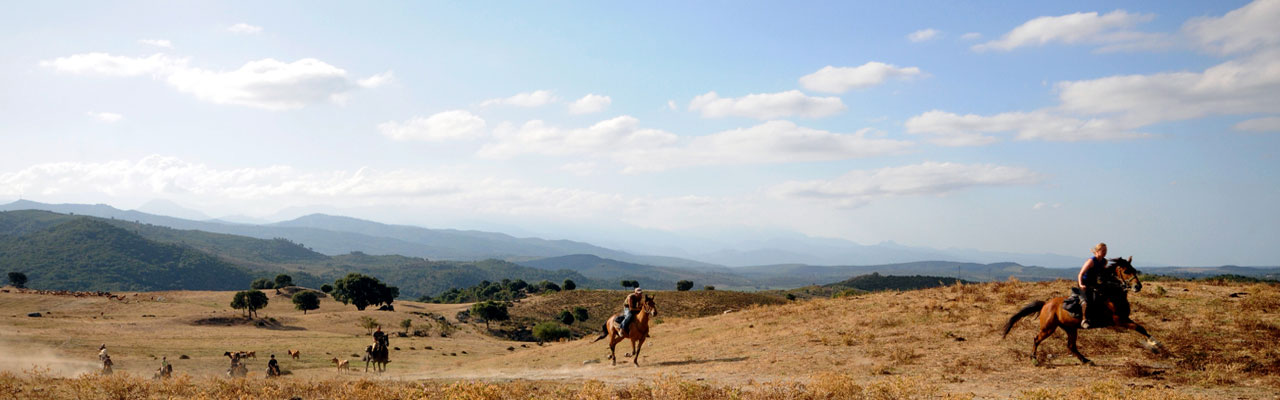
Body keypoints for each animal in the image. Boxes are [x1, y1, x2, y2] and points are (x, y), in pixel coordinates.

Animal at [998, 256, 1162, 366]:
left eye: (1134, 270)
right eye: (1127, 271)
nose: (1138, 286)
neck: (1112, 294)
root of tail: (1046, 304)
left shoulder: (1124, 319)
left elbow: (1141, 327)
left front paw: (1155, 343)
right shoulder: (1119, 320)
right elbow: (1138, 327)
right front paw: (1155, 344)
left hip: (1070, 328)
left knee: (1071, 346)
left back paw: (1086, 360)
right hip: (1048, 328)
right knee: (1036, 339)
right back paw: (1034, 359)